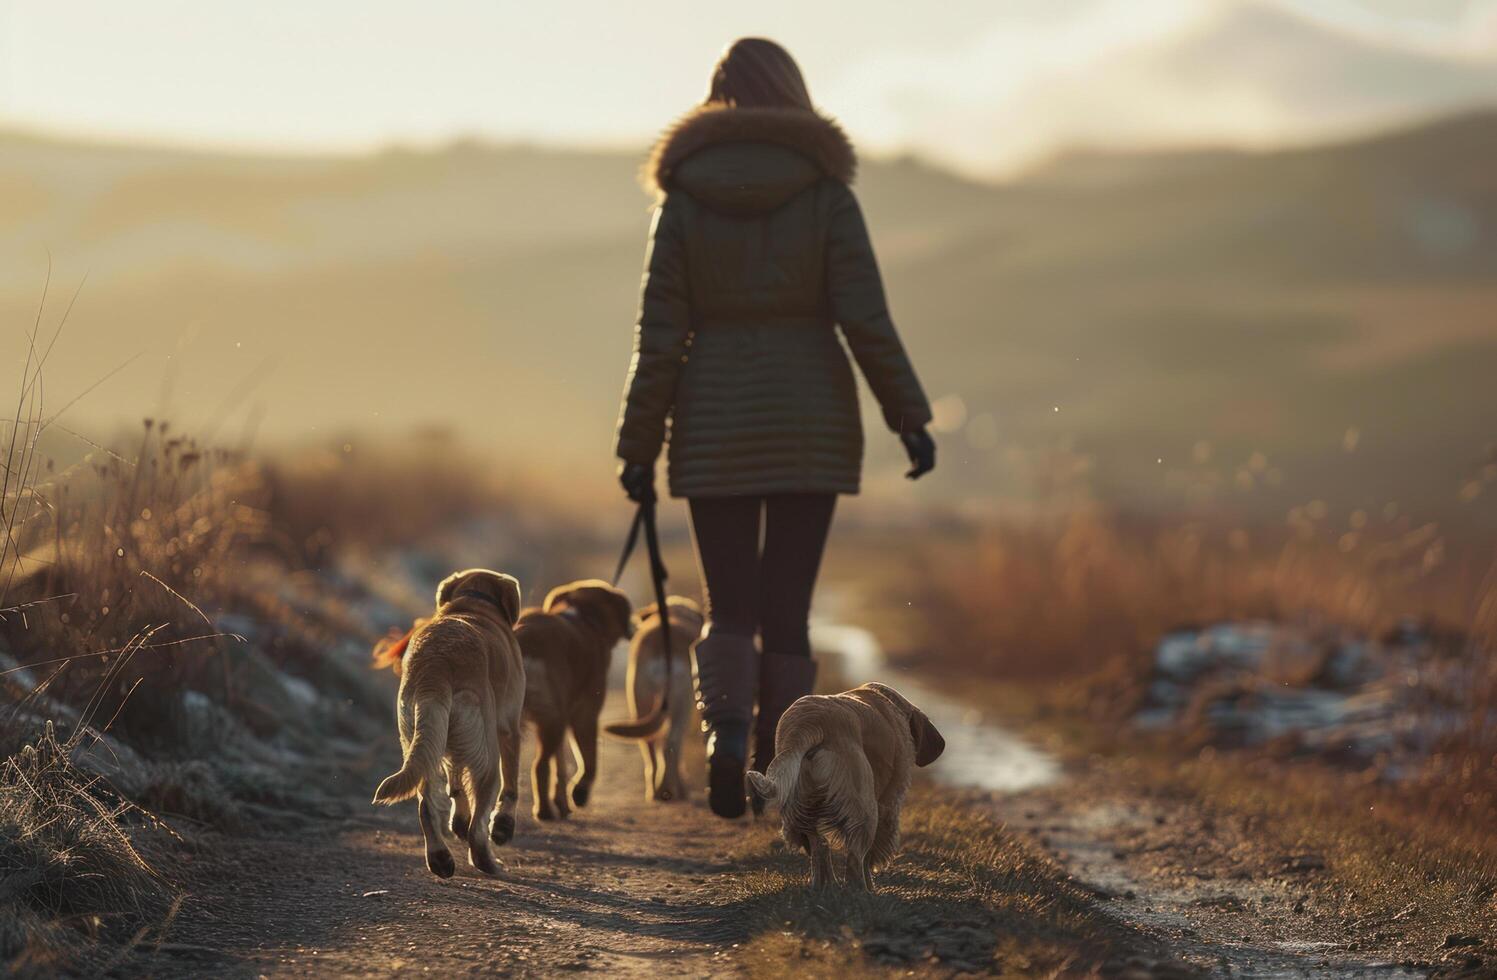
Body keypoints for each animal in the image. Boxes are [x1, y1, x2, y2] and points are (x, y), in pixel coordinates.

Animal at [372, 568, 526, 879]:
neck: (473, 602)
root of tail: (435, 669)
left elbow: (455, 785)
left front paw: (458, 822)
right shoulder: (509, 728)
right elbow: (511, 784)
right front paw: (502, 827)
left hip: (421, 741)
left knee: (426, 806)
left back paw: (440, 859)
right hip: (487, 755)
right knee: (479, 823)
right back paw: (488, 862)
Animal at [517, 577, 634, 825]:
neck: (584, 617)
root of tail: (523, 640)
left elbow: (560, 766)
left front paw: (563, 803)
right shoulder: (585, 714)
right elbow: (589, 761)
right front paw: (579, 793)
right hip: (552, 719)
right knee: (539, 766)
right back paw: (543, 811)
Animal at [598, 598, 703, 807]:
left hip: (639, 700)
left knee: (649, 744)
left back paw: (655, 791)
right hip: (682, 705)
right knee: (671, 744)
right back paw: (674, 790)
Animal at [748, 685, 946, 891]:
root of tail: (807, 724)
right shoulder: (889, 802)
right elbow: (869, 856)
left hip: (804, 808)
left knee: (820, 848)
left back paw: (822, 886)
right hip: (865, 810)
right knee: (854, 859)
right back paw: (861, 891)